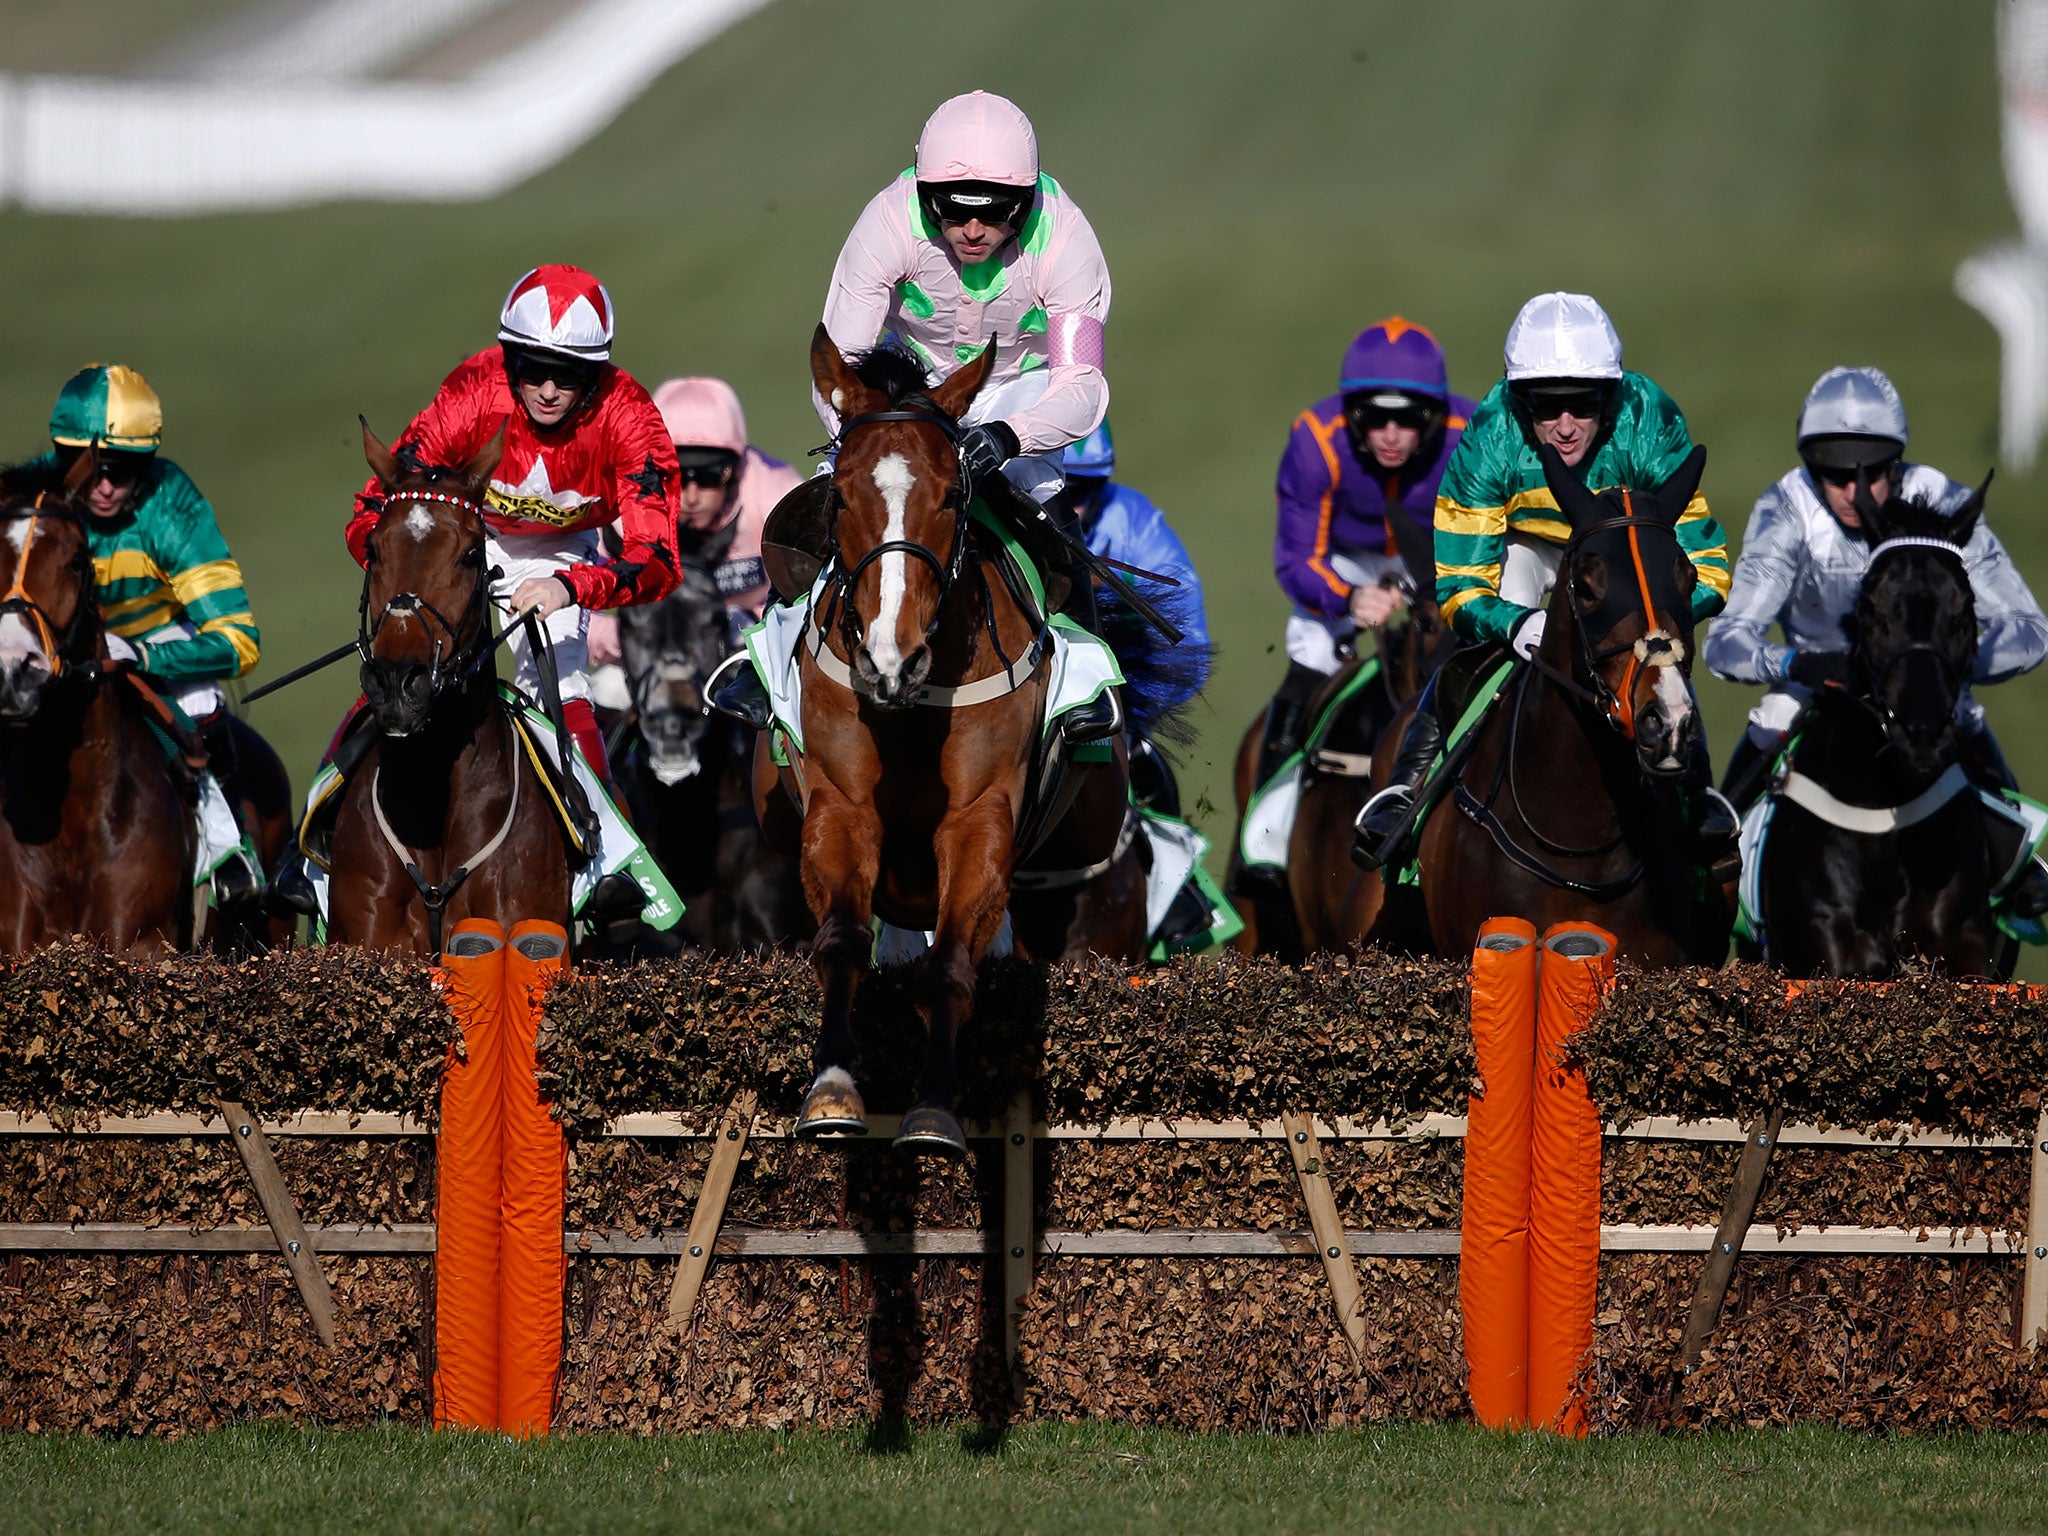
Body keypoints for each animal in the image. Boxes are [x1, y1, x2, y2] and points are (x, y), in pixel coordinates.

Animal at [757, 331, 1138, 1155]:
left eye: (953, 496)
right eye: (840, 497)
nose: (889, 659)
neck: (910, 707)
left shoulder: (979, 818)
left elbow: (949, 967)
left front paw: (933, 1107)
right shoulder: (839, 807)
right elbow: (842, 940)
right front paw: (831, 1089)